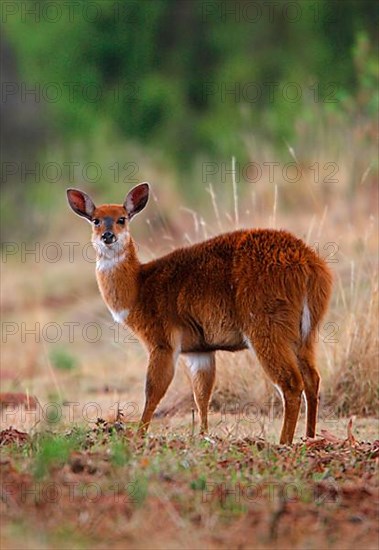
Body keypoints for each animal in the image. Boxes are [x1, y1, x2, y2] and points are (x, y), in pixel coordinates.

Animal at [67, 184, 332, 444]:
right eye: (96, 220)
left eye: (121, 219)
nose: (107, 236)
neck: (139, 287)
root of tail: (309, 264)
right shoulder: (200, 351)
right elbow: (202, 395)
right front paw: (203, 434)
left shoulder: (163, 343)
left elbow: (153, 391)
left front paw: (139, 435)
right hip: (306, 335)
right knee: (313, 379)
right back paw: (310, 437)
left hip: (266, 329)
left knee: (292, 383)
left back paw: (284, 442)